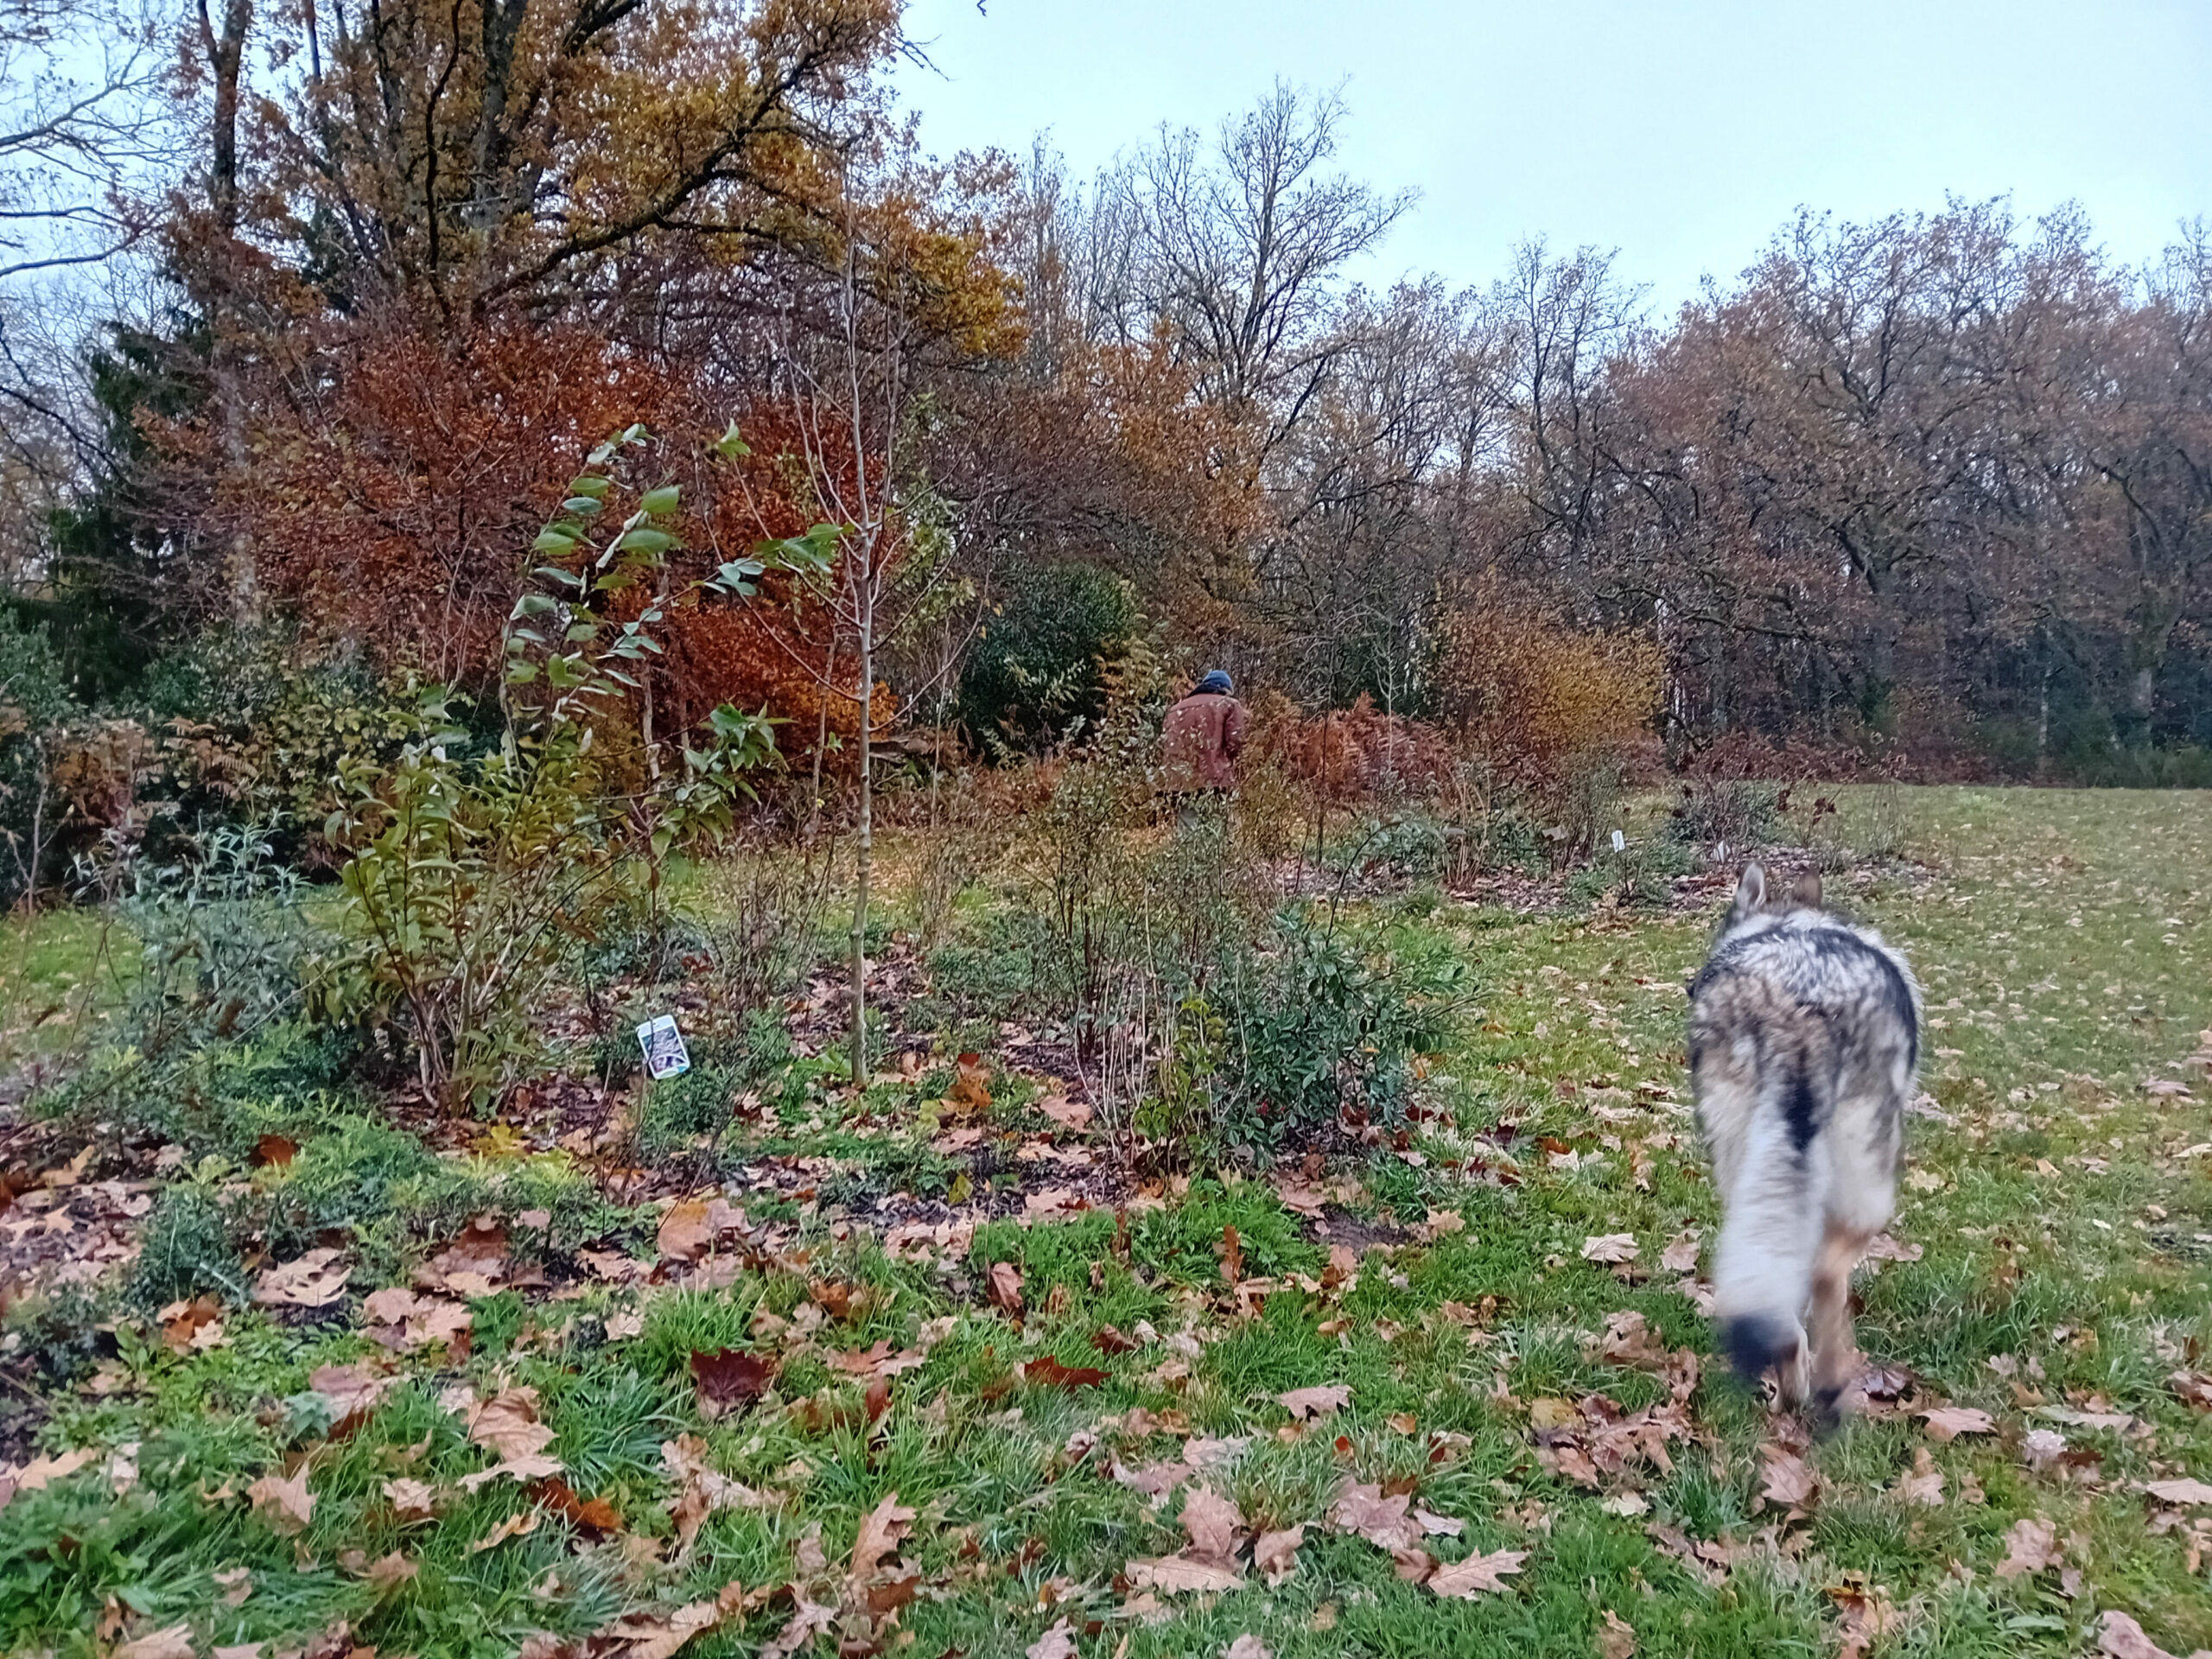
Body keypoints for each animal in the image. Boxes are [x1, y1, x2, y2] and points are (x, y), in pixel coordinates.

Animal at [1689, 858, 1920, 1433]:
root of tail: (1800, 1005)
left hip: (1747, 1161)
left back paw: (1792, 1384)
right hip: (1867, 1187)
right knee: (1824, 1275)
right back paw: (1831, 1385)